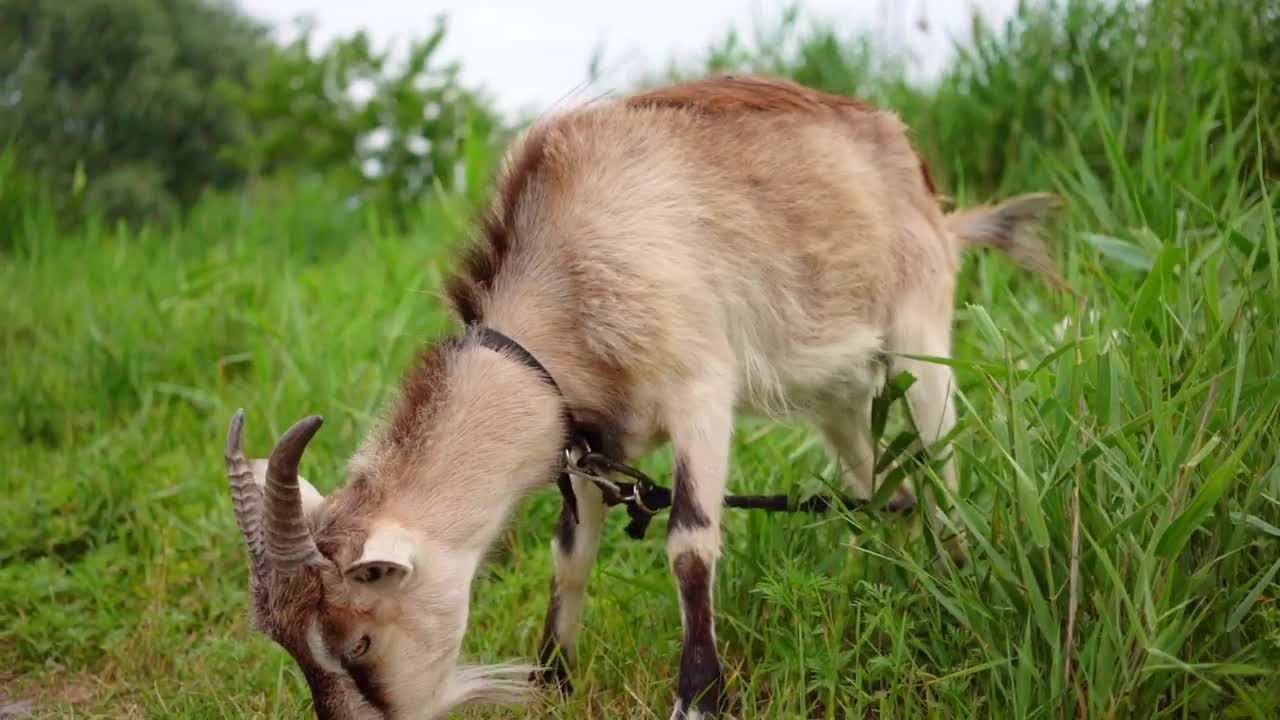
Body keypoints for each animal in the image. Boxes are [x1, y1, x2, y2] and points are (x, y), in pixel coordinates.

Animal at [220, 74, 1059, 717]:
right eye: (288, 646)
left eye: (358, 640)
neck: (567, 276)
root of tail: (927, 189)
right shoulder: (586, 438)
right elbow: (570, 551)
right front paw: (554, 680)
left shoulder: (700, 391)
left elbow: (689, 543)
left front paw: (699, 698)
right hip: (840, 395)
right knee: (887, 485)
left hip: (920, 338)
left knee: (940, 472)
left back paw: (956, 587)